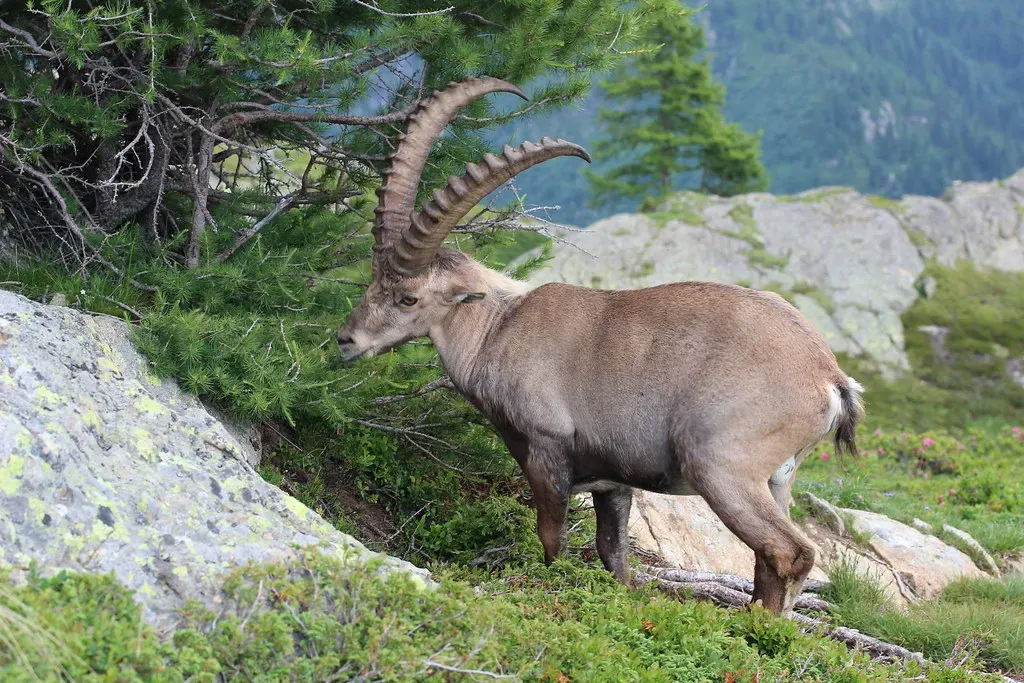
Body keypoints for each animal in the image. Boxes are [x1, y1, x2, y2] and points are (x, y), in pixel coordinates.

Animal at [337, 77, 864, 615]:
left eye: (408, 297)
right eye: (372, 279)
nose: (346, 340)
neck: (498, 330)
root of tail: (829, 378)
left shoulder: (547, 449)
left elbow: (552, 538)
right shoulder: (614, 480)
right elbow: (613, 554)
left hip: (722, 465)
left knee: (789, 551)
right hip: (778, 479)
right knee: (768, 559)